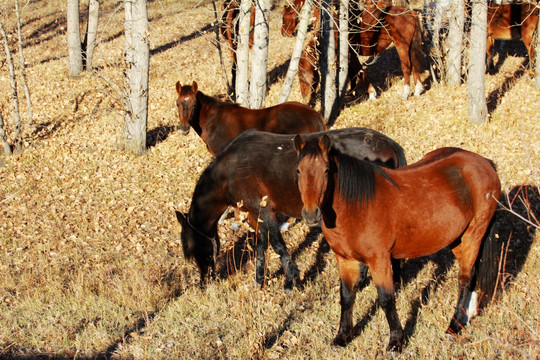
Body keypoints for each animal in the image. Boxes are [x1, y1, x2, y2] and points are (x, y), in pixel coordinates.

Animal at [175, 128, 408, 292]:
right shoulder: (255, 215)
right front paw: (259, 281)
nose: (204, 281)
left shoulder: (265, 211)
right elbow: (261, 246)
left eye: (189, 247)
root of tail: (388, 144)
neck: (228, 172)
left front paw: (291, 281)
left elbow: (279, 246)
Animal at [280, 0, 424, 101]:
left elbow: (359, 71)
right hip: (410, 47)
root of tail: (411, 13)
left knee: (407, 67)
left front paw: (371, 93)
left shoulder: (349, 54)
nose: (304, 97)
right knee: (415, 66)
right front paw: (351, 92)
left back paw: (405, 94)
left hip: (402, 46)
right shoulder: (350, 55)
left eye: (301, 74)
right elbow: (352, 73)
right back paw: (417, 90)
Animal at [296, 134, 502, 352]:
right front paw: (343, 336)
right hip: (458, 238)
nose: (310, 214)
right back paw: (466, 316)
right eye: (298, 170)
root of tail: (484, 163)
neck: (355, 206)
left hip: (473, 234)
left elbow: (386, 299)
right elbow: (347, 296)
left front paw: (396, 341)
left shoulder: (380, 260)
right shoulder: (345, 259)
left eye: (326, 170)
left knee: (465, 279)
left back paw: (453, 326)